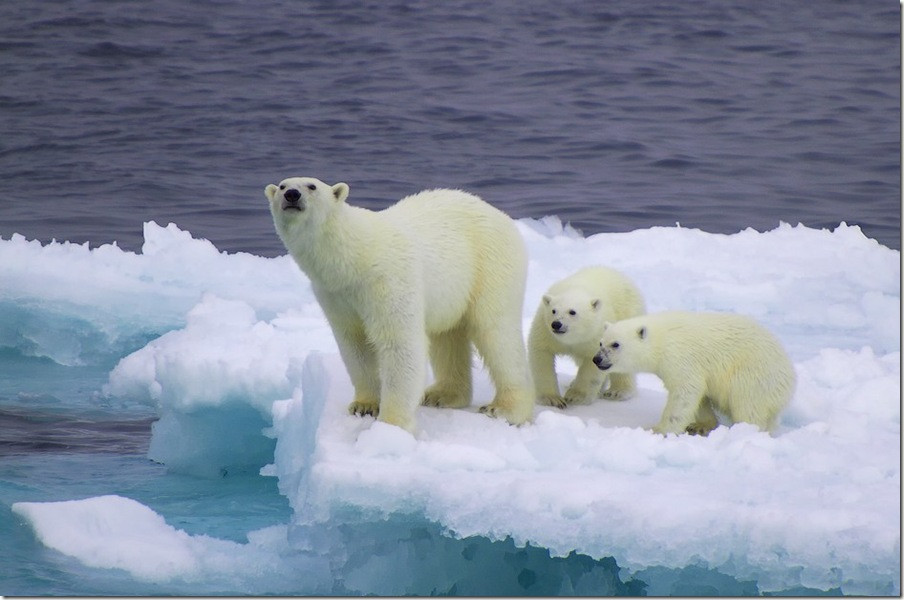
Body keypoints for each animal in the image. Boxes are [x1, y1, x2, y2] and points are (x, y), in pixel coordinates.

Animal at [268, 176, 536, 434]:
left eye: (311, 186)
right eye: (282, 185)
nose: (292, 194)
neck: (355, 258)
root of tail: (501, 216)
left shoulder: (388, 280)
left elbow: (399, 343)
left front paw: (391, 425)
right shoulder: (335, 295)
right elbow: (355, 344)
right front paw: (364, 405)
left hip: (490, 264)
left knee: (496, 333)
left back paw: (505, 409)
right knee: (447, 337)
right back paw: (442, 395)